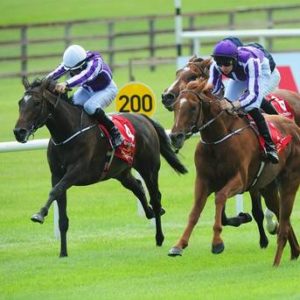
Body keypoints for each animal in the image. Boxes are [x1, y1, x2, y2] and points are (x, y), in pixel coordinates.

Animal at [14, 77, 188, 258]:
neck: (68, 132)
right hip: (121, 172)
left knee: (155, 198)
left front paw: (39, 214)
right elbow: (61, 214)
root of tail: (144, 118)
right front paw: (63, 252)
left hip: (149, 168)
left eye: (36, 102)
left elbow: (55, 191)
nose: (19, 132)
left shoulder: (77, 171)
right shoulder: (56, 174)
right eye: (20, 102)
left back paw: (159, 236)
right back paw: (150, 212)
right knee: (138, 188)